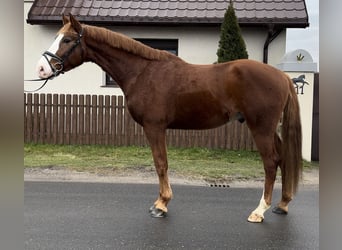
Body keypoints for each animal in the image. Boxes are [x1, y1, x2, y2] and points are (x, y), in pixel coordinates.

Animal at [35, 14, 302, 223]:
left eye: (67, 40)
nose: (41, 68)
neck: (143, 72)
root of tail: (281, 76)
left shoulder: (154, 127)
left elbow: (160, 163)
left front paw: (161, 205)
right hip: (270, 129)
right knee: (283, 159)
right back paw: (283, 204)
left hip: (261, 128)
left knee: (271, 162)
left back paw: (259, 211)